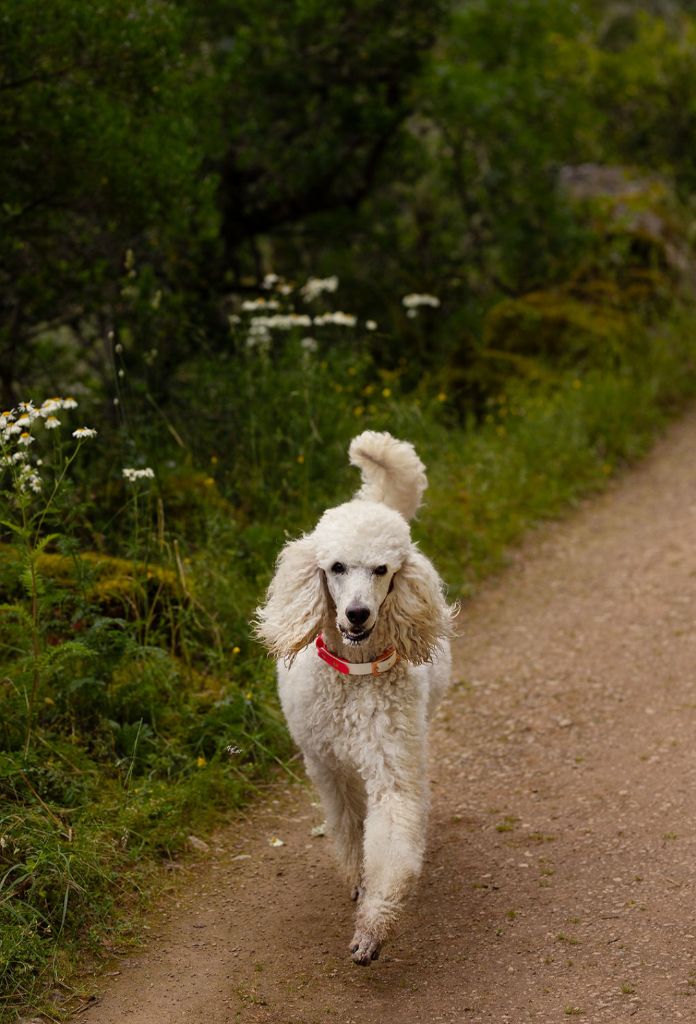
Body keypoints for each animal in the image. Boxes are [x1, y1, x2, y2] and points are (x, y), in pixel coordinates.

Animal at [255, 432, 456, 966]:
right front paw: (357, 881)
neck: (354, 675)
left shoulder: (392, 768)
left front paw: (372, 927)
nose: (358, 614)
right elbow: (348, 828)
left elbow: (389, 845)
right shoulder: (328, 767)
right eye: (336, 567)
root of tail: (373, 500)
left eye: (382, 569)